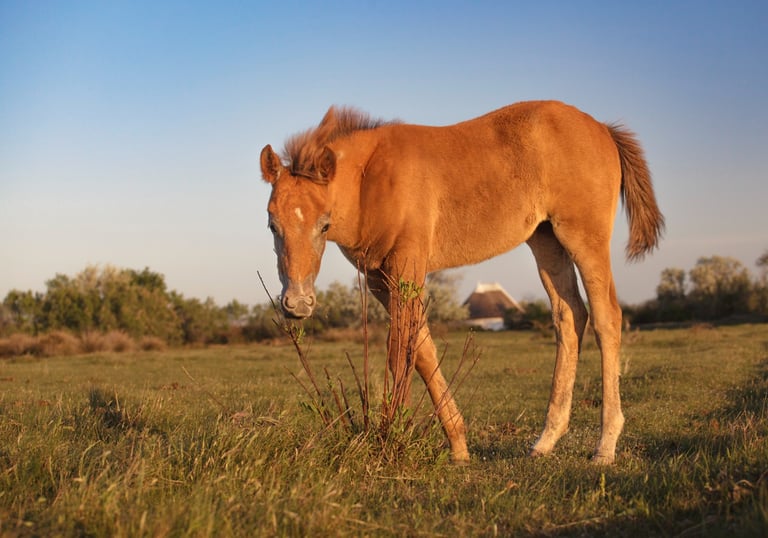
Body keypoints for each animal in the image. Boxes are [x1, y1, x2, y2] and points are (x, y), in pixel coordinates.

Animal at [260, 100, 664, 464]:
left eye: (324, 225)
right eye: (272, 225)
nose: (298, 303)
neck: (370, 180)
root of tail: (602, 128)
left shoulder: (407, 266)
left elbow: (399, 351)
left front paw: (392, 435)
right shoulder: (379, 279)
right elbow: (422, 350)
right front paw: (457, 444)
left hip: (584, 237)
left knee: (606, 317)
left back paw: (605, 446)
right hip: (546, 239)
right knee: (570, 317)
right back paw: (545, 440)